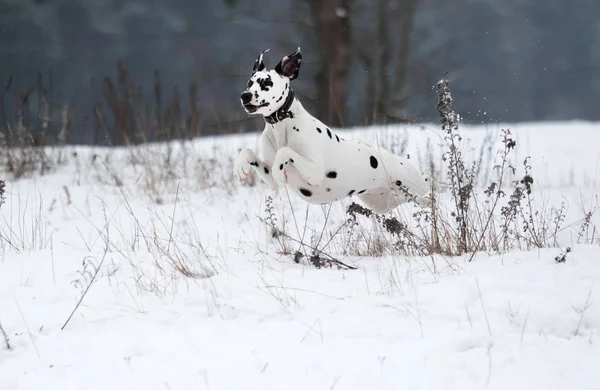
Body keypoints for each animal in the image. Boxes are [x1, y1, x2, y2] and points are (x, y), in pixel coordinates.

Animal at [232, 48, 434, 215]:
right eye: (249, 82)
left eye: (266, 82)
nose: (245, 95)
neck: (281, 126)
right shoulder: (270, 179)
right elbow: (248, 152)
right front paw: (240, 168)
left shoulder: (315, 172)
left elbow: (285, 152)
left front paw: (279, 171)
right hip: (383, 204)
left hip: (414, 188)